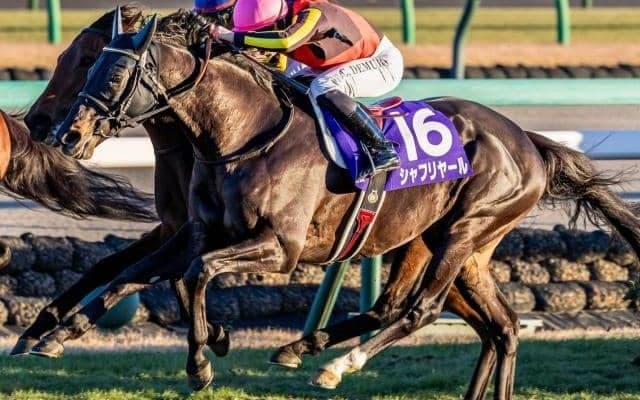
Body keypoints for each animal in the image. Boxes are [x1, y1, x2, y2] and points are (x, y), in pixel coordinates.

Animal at [27, 10, 640, 400]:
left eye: (111, 70)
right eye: (90, 64)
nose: (62, 132)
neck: (241, 133)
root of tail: (527, 139)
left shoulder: (281, 248)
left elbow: (191, 273)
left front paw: (201, 361)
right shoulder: (197, 230)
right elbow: (145, 274)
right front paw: (55, 333)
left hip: (464, 230)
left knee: (419, 310)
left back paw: (335, 365)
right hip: (446, 245)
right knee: (495, 324)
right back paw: (304, 347)